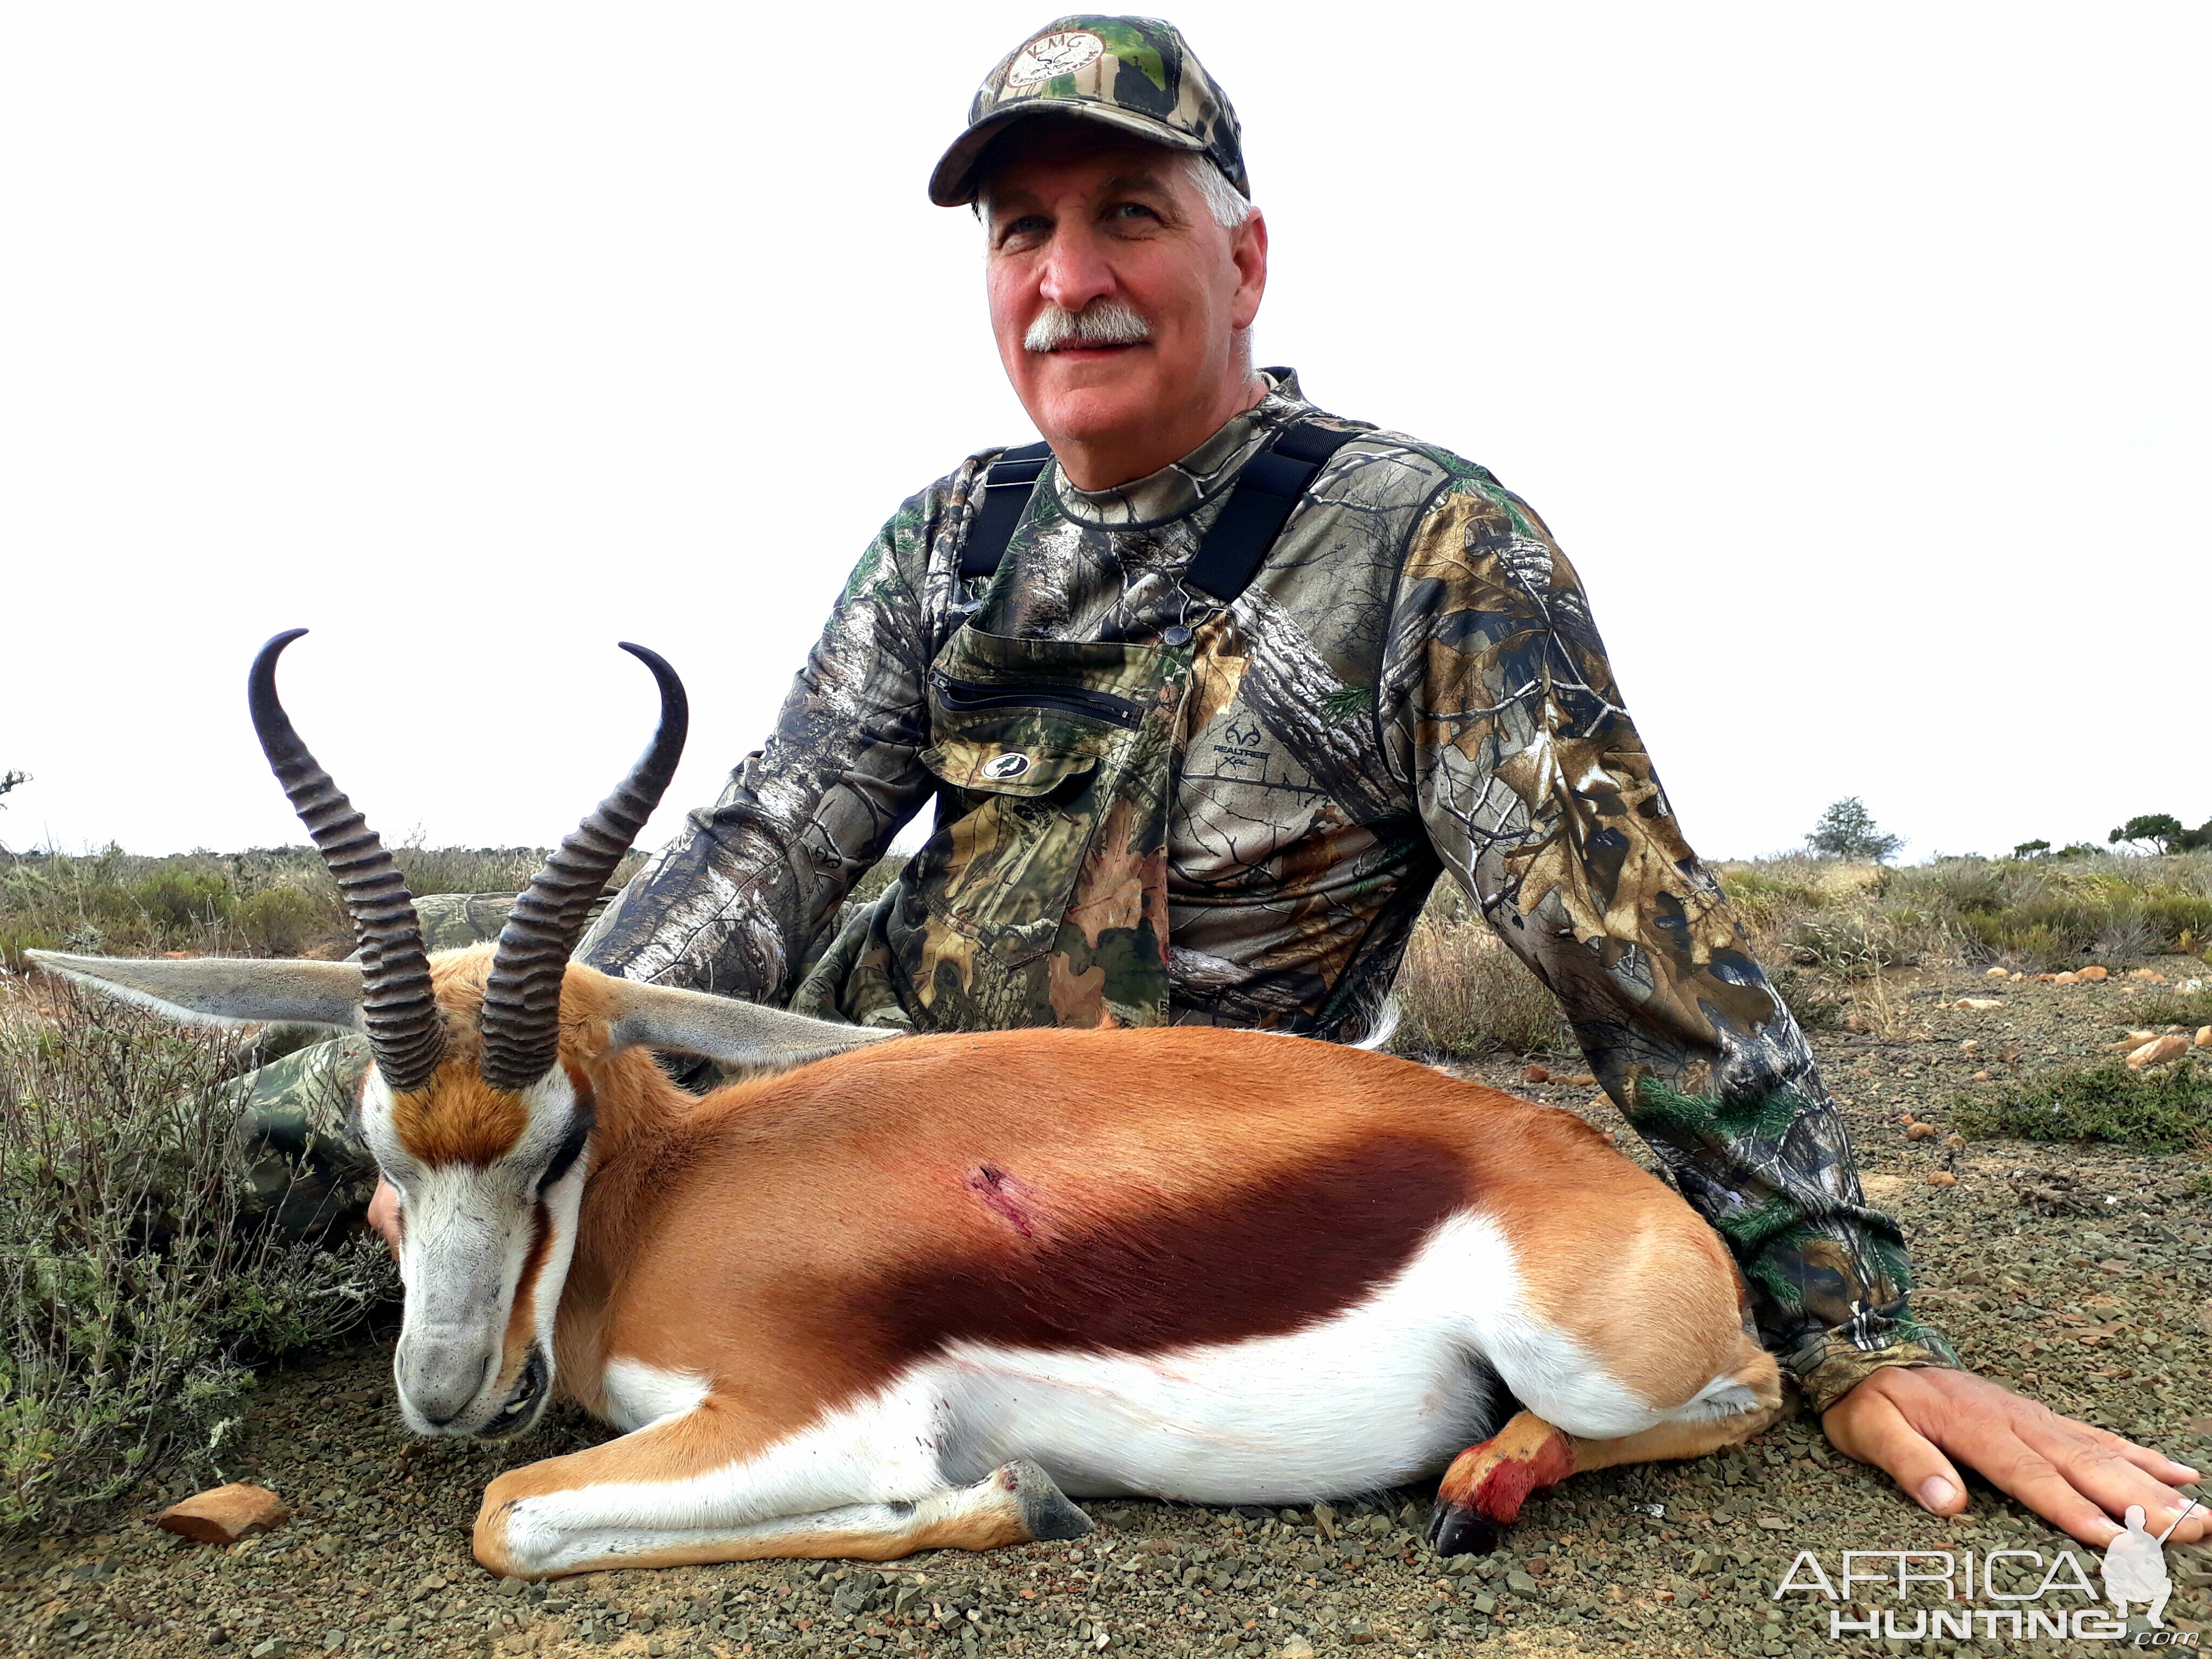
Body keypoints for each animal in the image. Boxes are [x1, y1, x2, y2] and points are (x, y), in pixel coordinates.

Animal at [35, 628, 1787, 1575]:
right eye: (380, 1151)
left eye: (559, 1137)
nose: (445, 1390)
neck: (667, 1208)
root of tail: (1619, 1185)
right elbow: (525, 1509)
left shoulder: (821, 1410)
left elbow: (512, 1514)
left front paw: (1017, 1497)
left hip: (1585, 1359)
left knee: (1743, 1392)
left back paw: (1482, 1486)